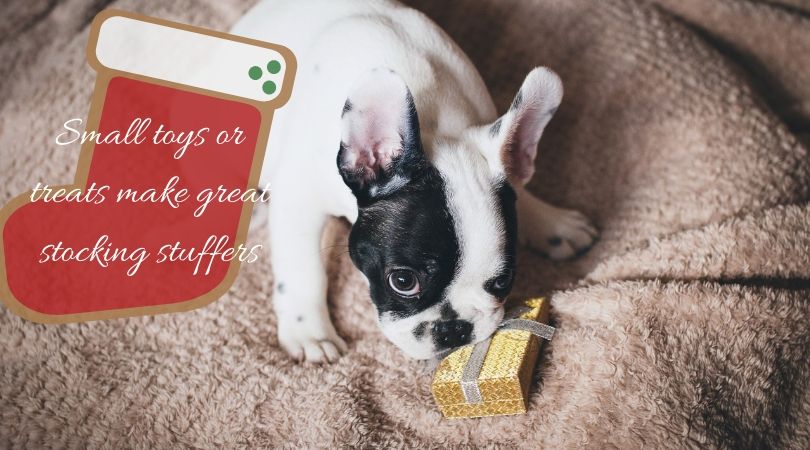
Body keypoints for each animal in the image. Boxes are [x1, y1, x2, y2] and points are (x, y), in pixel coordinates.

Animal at [230, 0, 596, 362]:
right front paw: (310, 333)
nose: (455, 329)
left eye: (503, 281)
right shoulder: (300, 199)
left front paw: (552, 222)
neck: (437, 124)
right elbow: (303, 270)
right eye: (403, 281)